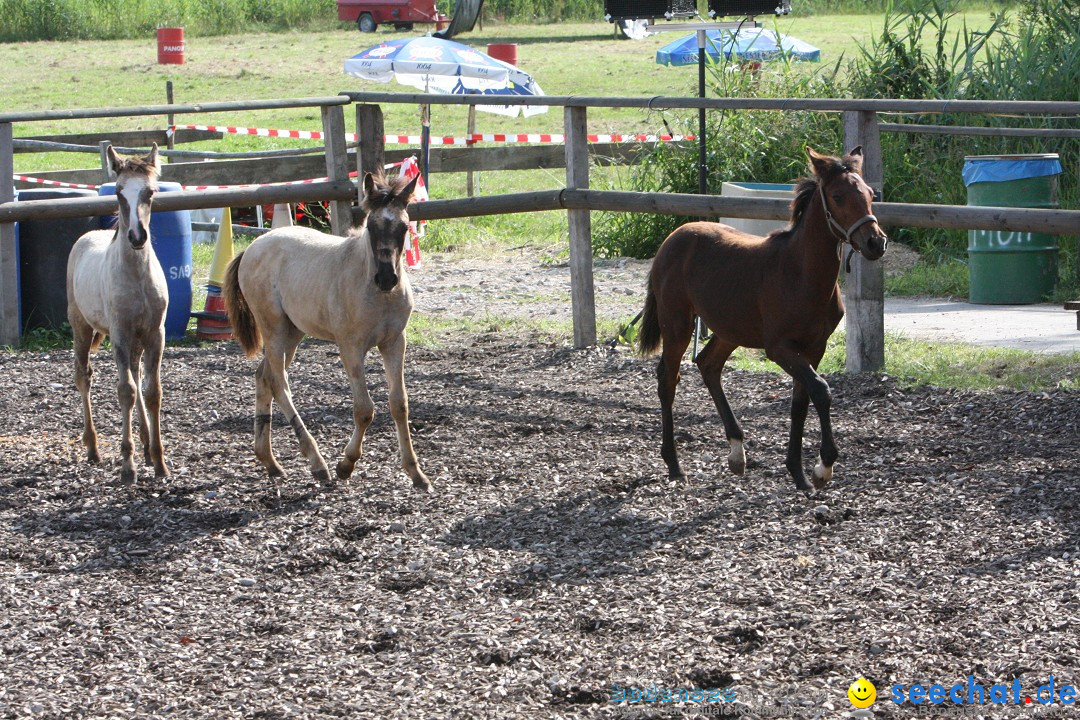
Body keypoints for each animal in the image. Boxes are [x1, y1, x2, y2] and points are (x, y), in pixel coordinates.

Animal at [639, 146, 885, 496]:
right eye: (838, 196)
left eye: (870, 195)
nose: (876, 243)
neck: (801, 274)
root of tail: (672, 239)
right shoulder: (779, 348)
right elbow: (821, 390)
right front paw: (823, 468)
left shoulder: (814, 348)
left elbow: (801, 401)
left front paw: (799, 474)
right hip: (677, 324)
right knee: (668, 380)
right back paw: (675, 465)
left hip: (730, 329)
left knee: (708, 364)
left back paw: (736, 453)